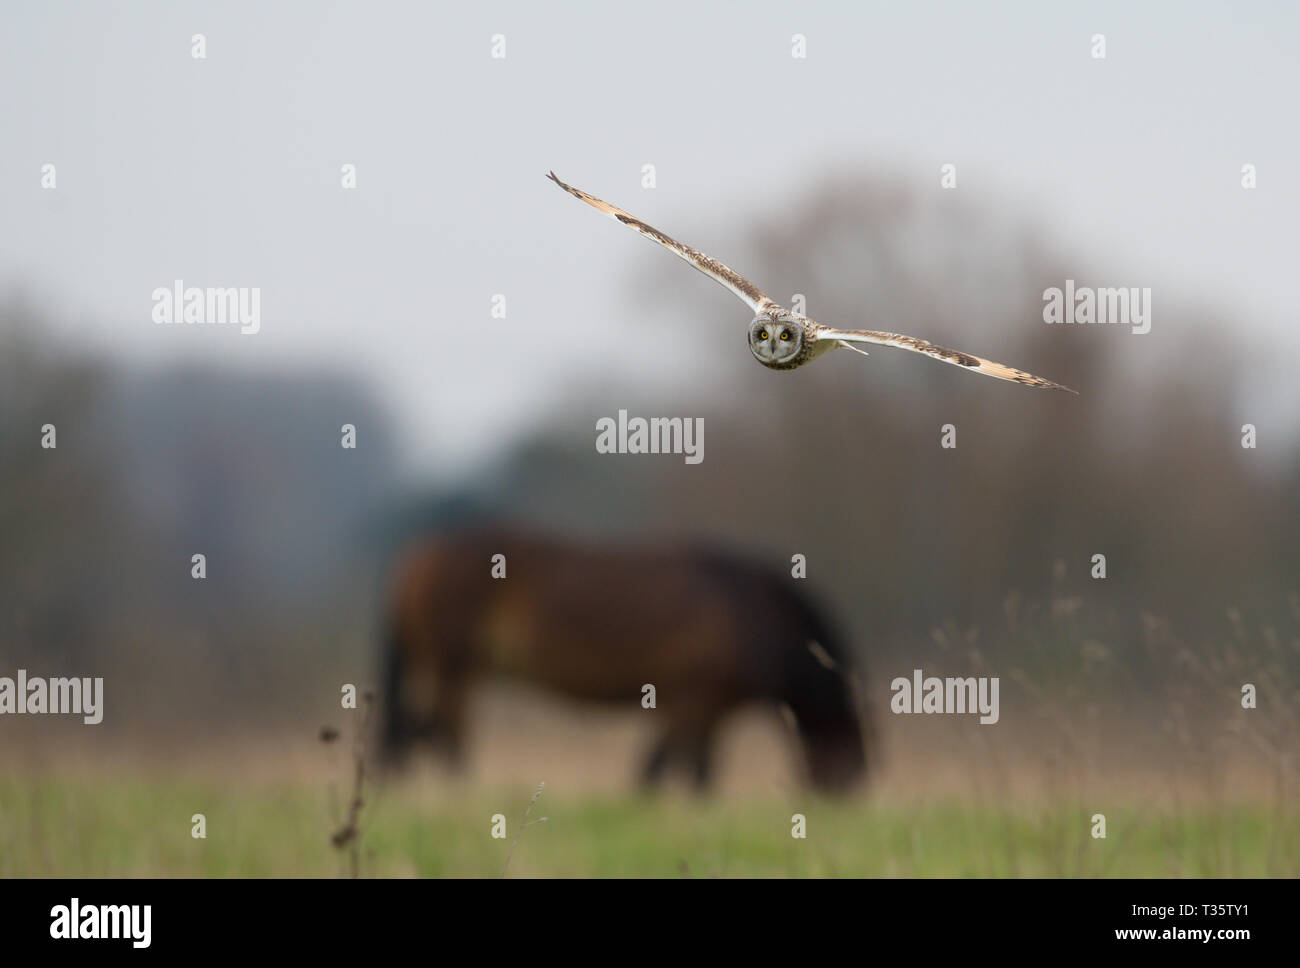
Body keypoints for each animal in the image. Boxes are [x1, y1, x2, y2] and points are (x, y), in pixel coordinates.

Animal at [379, 527, 863, 795]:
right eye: (849, 768)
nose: (833, 805)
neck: (751, 609)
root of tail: (416, 557)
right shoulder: (696, 699)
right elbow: (666, 769)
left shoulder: (701, 707)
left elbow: (685, 772)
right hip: (453, 668)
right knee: (440, 731)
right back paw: (458, 791)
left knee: (422, 730)